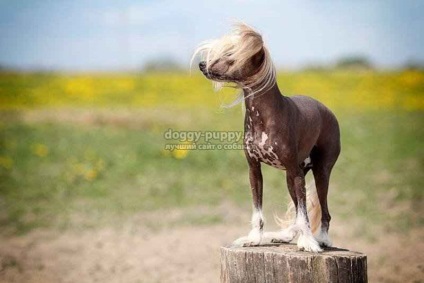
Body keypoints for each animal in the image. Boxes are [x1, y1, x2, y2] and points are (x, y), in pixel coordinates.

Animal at [192, 22, 342, 253]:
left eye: (231, 56)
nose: (201, 64)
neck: (264, 117)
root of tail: (328, 110)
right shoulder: (255, 170)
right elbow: (258, 211)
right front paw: (254, 238)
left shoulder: (297, 174)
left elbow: (304, 215)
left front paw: (309, 242)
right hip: (291, 178)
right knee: (299, 210)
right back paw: (287, 236)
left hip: (320, 173)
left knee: (323, 211)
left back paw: (322, 239)